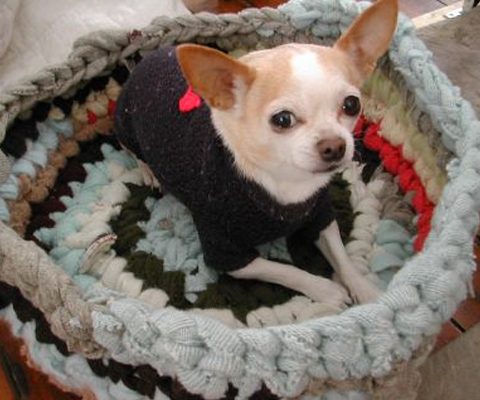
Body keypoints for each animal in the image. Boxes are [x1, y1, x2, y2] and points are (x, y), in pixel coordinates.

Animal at [114, 0, 400, 308]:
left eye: (351, 104)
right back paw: (148, 172)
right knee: (134, 153)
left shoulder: (320, 215)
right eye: (282, 119)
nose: (334, 146)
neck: (287, 183)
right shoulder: (226, 253)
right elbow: (284, 270)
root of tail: (146, 60)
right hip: (125, 126)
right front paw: (325, 290)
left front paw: (365, 290)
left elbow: (341, 255)